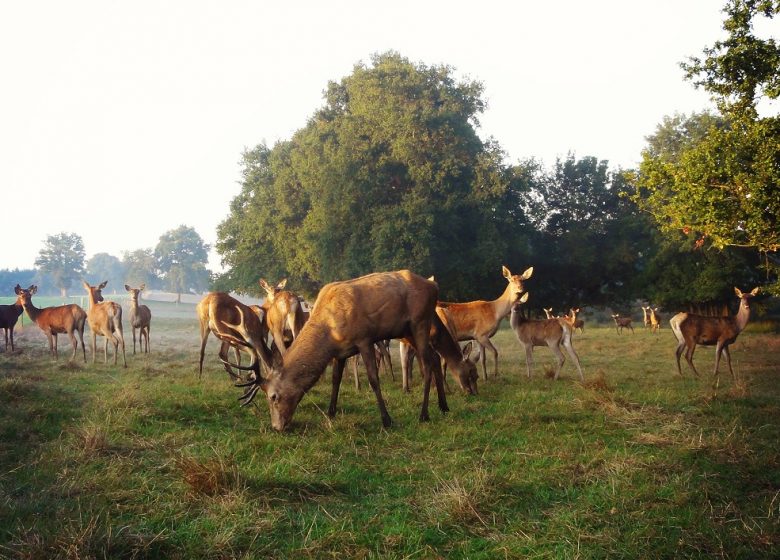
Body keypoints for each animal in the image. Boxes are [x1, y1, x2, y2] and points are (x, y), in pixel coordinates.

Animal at [232, 270, 447, 432]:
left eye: (273, 396)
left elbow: (373, 379)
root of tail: (434, 287)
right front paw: (331, 412)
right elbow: (336, 379)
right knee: (435, 358)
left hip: (420, 322)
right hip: (406, 330)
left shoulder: (364, 339)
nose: (277, 427)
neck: (330, 332)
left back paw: (424, 414)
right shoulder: (340, 352)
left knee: (427, 363)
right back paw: (443, 406)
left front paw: (386, 419)